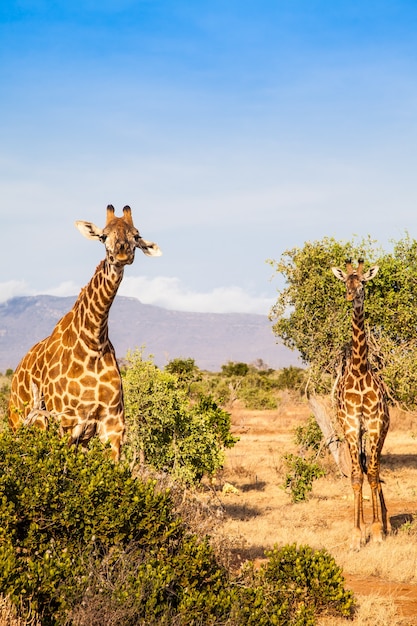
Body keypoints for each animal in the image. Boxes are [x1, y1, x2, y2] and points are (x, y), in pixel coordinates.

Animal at [8, 204, 161, 458]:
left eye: (136, 236)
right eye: (103, 236)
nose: (121, 253)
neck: (93, 342)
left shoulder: (112, 424)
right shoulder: (65, 422)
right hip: (21, 421)